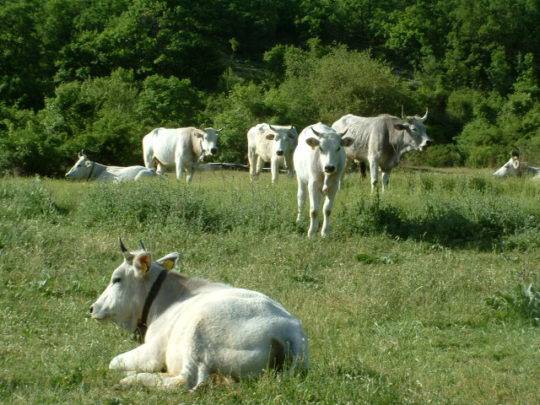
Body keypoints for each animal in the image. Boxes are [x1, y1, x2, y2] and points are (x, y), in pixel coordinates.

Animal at [91, 238, 310, 390]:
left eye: (116, 279)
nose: (92, 308)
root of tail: (288, 328)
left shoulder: (153, 350)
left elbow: (113, 362)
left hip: (198, 336)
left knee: (183, 381)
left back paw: (131, 379)